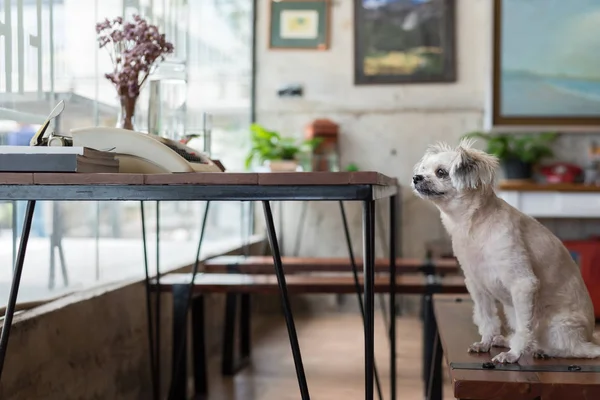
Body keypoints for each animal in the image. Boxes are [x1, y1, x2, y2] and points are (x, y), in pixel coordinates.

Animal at [410, 140, 600, 362]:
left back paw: (539, 350)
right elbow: (487, 319)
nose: (416, 177)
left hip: (556, 326)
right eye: (423, 170)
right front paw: (486, 342)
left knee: (569, 349)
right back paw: (505, 340)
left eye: (441, 172)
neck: (474, 226)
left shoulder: (523, 284)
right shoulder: (477, 285)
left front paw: (514, 355)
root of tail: (589, 337)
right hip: (512, 311)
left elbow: (524, 329)